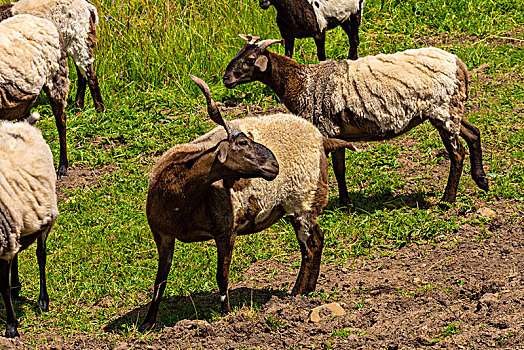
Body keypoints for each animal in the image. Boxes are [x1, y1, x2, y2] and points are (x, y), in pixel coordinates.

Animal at [0, 116, 58, 338]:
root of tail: (20, 124)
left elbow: (3, 287)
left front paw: (11, 326)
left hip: (45, 215)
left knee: (41, 254)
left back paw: (43, 300)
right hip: (18, 222)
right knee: (17, 251)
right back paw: (17, 287)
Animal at [139, 75, 356, 332]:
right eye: (243, 143)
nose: (274, 166)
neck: (180, 198)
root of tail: (321, 138)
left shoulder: (226, 231)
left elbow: (221, 276)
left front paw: (226, 316)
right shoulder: (162, 235)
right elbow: (159, 281)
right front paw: (147, 324)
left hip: (302, 200)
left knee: (311, 245)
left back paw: (296, 293)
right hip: (303, 204)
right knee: (317, 240)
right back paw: (307, 290)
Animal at [223, 34, 490, 205]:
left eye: (250, 60)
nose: (226, 79)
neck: (301, 83)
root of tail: (458, 64)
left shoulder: (325, 128)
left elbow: (330, 168)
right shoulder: (336, 132)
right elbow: (340, 168)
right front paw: (344, 201)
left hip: (443, 111)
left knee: (457, 153)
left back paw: (447, 200)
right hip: (451, 109)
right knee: (473, 133)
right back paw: (482, 181)